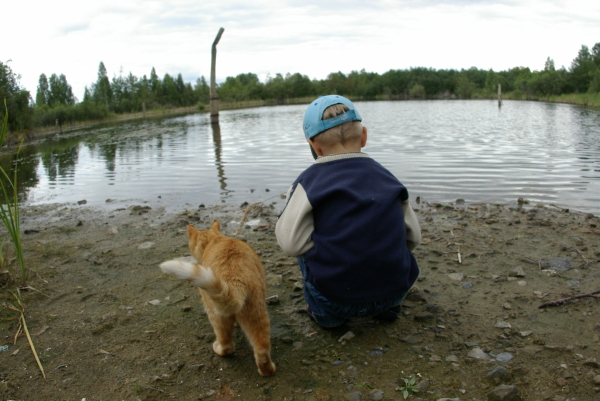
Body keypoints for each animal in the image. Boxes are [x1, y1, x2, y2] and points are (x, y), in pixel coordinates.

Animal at [157, 219, 274, 376]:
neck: (214, 239)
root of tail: (234, 280)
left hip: (215, 314)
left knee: (227, 345)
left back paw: (218, 348)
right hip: (257, 314)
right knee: (262, 349)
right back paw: (267, 370)